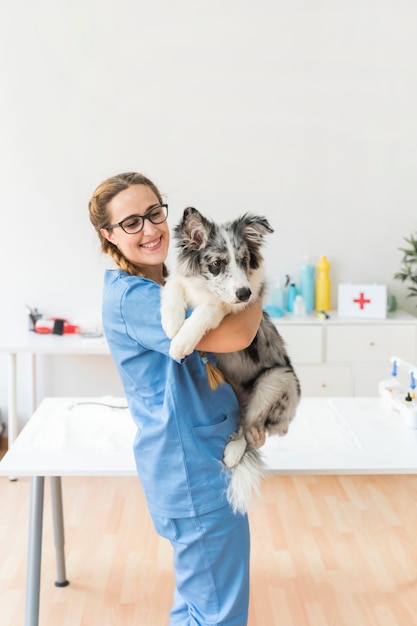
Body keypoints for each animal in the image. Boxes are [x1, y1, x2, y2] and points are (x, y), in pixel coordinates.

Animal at [159, 207, 300, 510]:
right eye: (216, 264)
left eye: (244, 260)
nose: (244, 293)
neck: (204, 289)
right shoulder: (181, 280)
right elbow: (172, 285)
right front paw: (172, 323)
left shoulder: (230, 308)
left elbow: (209, 309)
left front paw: (181, 342)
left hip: (277, 380)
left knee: (250, 426)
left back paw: (234, 452)